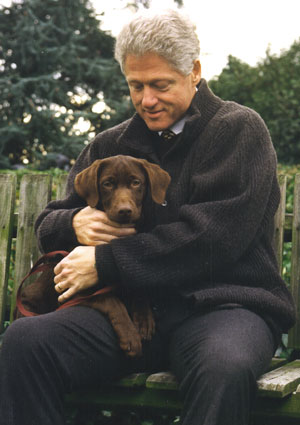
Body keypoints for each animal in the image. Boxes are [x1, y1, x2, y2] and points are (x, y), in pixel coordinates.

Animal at [15, 154, 171, 356]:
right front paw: (130, 336)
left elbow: (137, 287)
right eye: (107, 184)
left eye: (136, 182)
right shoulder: (74, 288)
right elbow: (112, 301)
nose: (125, 211)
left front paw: (144, 319)